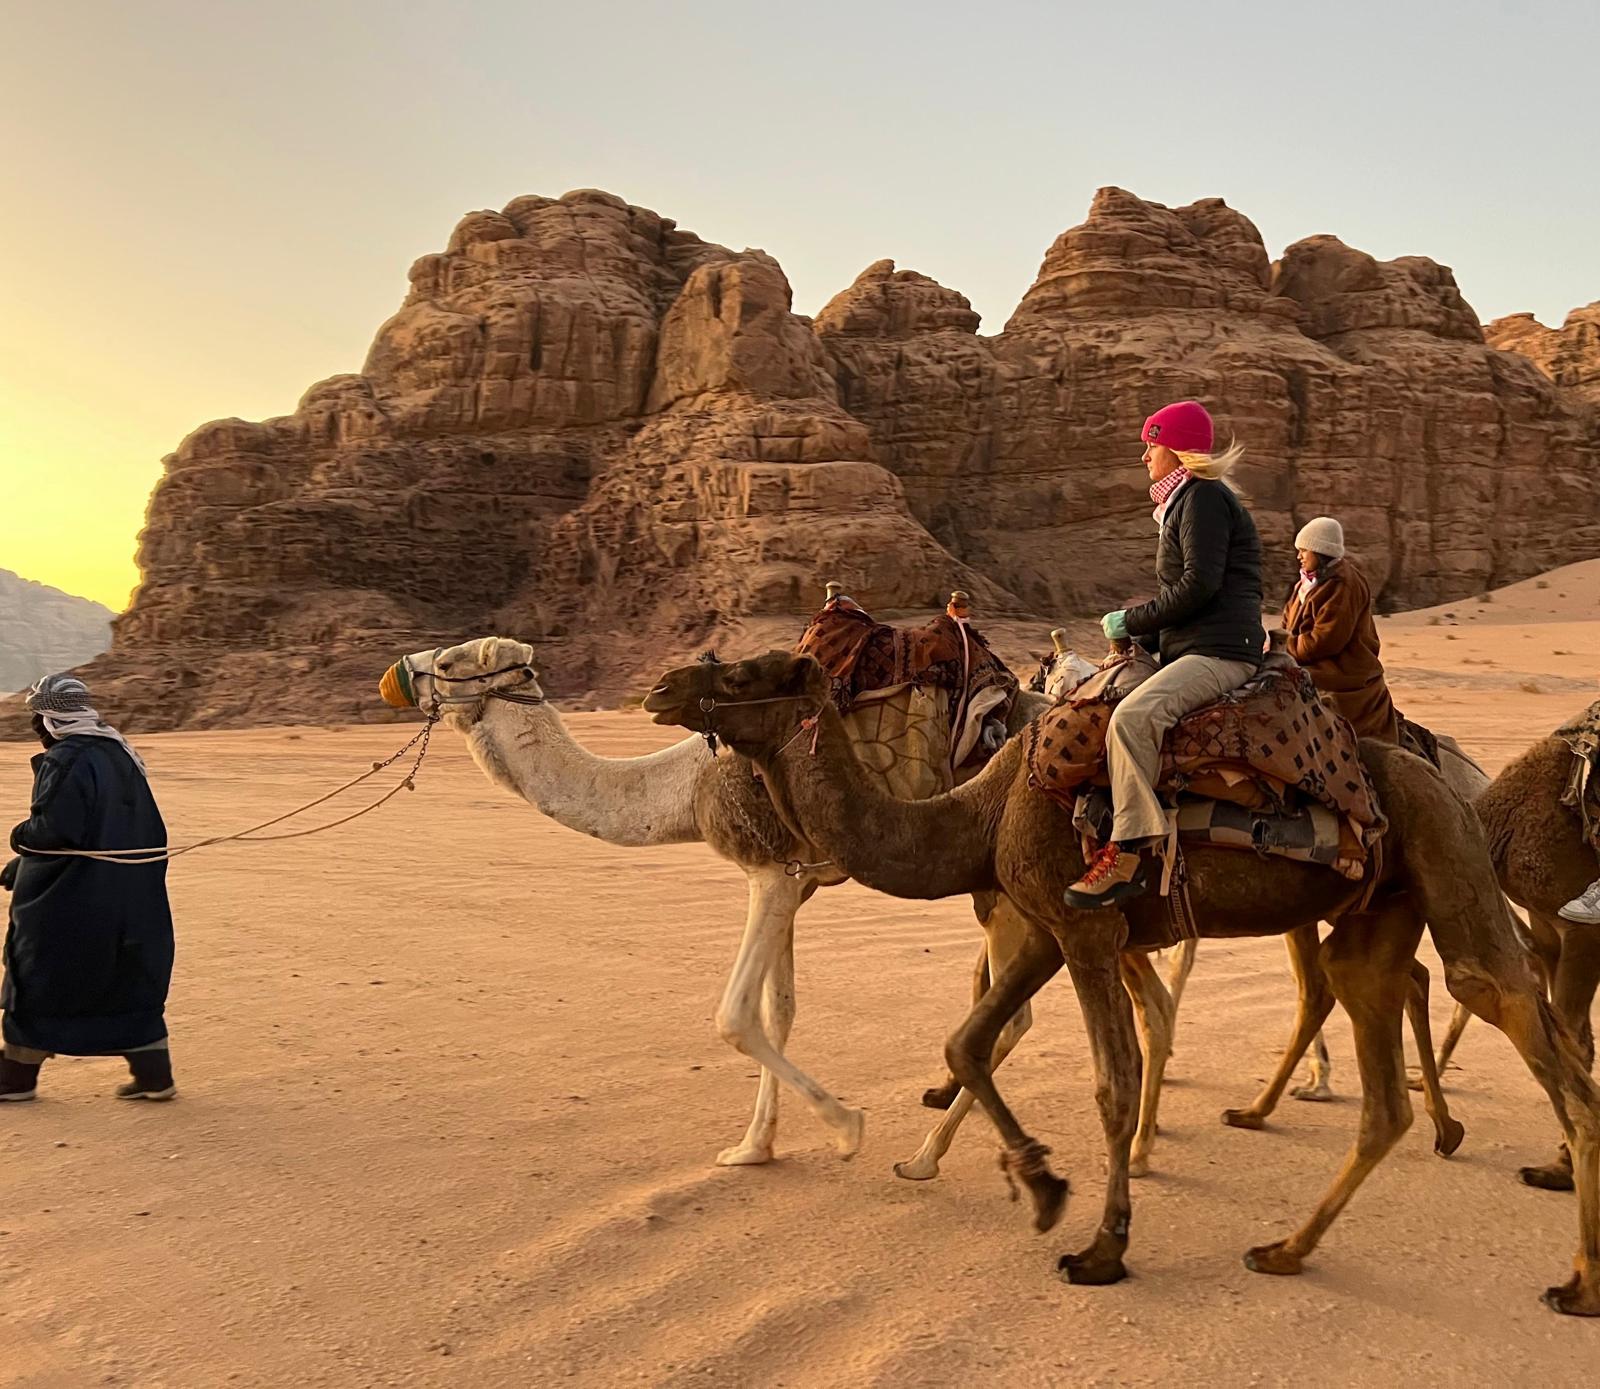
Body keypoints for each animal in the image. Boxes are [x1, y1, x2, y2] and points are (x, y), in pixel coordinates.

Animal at [643, 656, 1600, 1318]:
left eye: (747, 671)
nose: (662, 685)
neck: (978, 808)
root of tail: (1449, 773)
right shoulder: (1043, 924)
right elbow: (967, 1040)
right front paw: (1036, 1183)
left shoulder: (1088, 930)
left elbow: (1113, 1082)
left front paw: (1102, 1246)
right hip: (1376, 914)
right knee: (1382, 1070)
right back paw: (1288, 1246)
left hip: (1450, 860)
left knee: (1524, 1020)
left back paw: (1576, 1280)